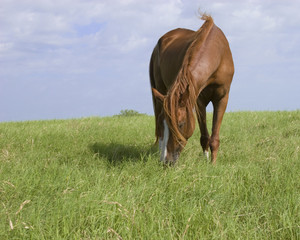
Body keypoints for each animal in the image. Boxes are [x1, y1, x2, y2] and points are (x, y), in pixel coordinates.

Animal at [150, 14, 234, 165]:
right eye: (162, 124)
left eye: (181, 124)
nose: (166, 161)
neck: (217, 54)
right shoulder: (198, 100)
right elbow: (204, 136)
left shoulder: (222, 99)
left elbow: (214, 137)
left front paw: (212, 164)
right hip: (160, 91)